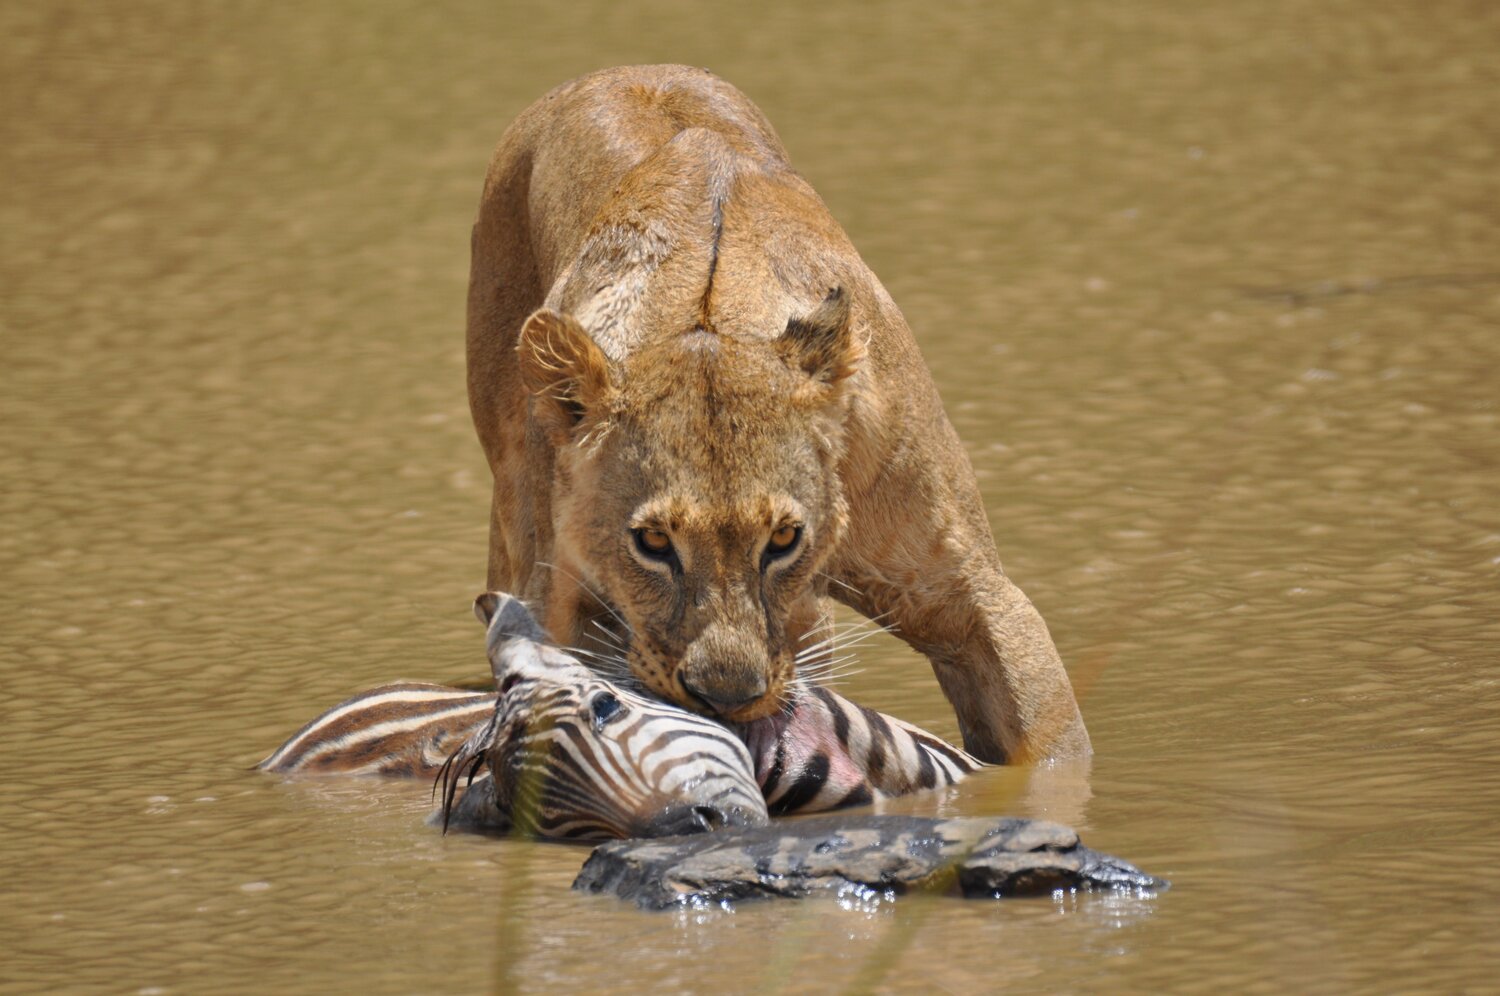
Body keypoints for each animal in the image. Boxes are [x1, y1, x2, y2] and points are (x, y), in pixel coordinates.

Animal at [465, 65, 1090, 764]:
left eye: (785, 539)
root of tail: (622, 70)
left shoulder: (974, 595)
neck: (708, 309)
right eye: (652, 543)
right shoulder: (556, 599)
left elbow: (1052, 752)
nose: (726, 698)